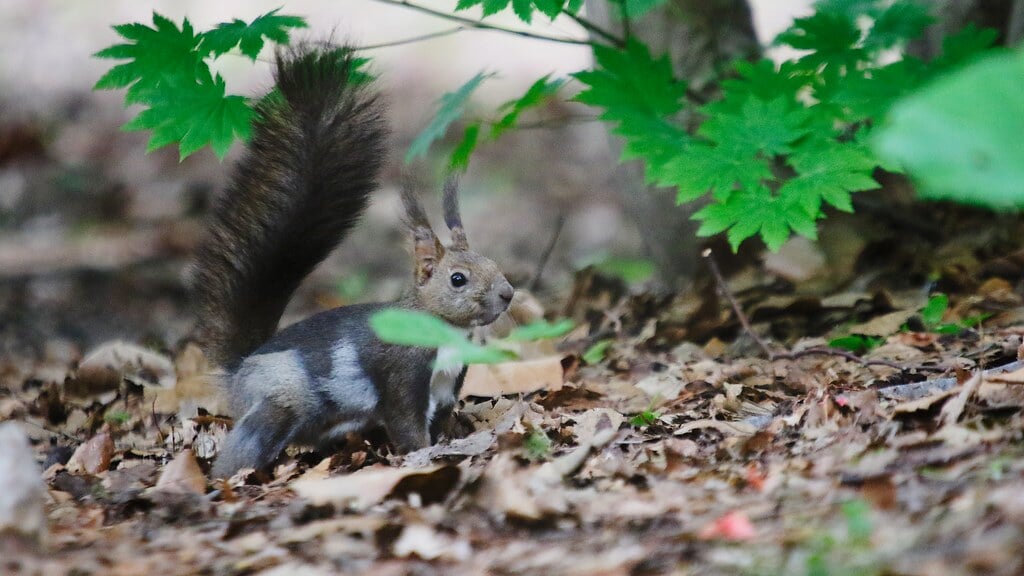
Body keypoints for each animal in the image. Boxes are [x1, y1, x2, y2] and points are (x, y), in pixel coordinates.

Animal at [191, 43, 512, 475]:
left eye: (491, 262)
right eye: (457, 278)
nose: (507, 294)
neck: (446, 334)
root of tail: (241, 369)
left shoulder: (449, 383)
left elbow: (441, 420)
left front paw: (451, 441)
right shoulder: (401, 376)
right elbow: (407, 423)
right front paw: (422, 455)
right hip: (278, 402)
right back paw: (231, 476)